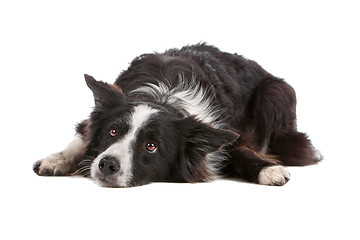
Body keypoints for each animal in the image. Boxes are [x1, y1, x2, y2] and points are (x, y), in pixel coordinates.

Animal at [32, 43, 322, 188]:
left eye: (151, 146)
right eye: (113, 131)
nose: (107, 165)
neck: (162, 97)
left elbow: (242, 151)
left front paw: (269, 169)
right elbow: (80, 140)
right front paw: (58, 159)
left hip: (276, 95)